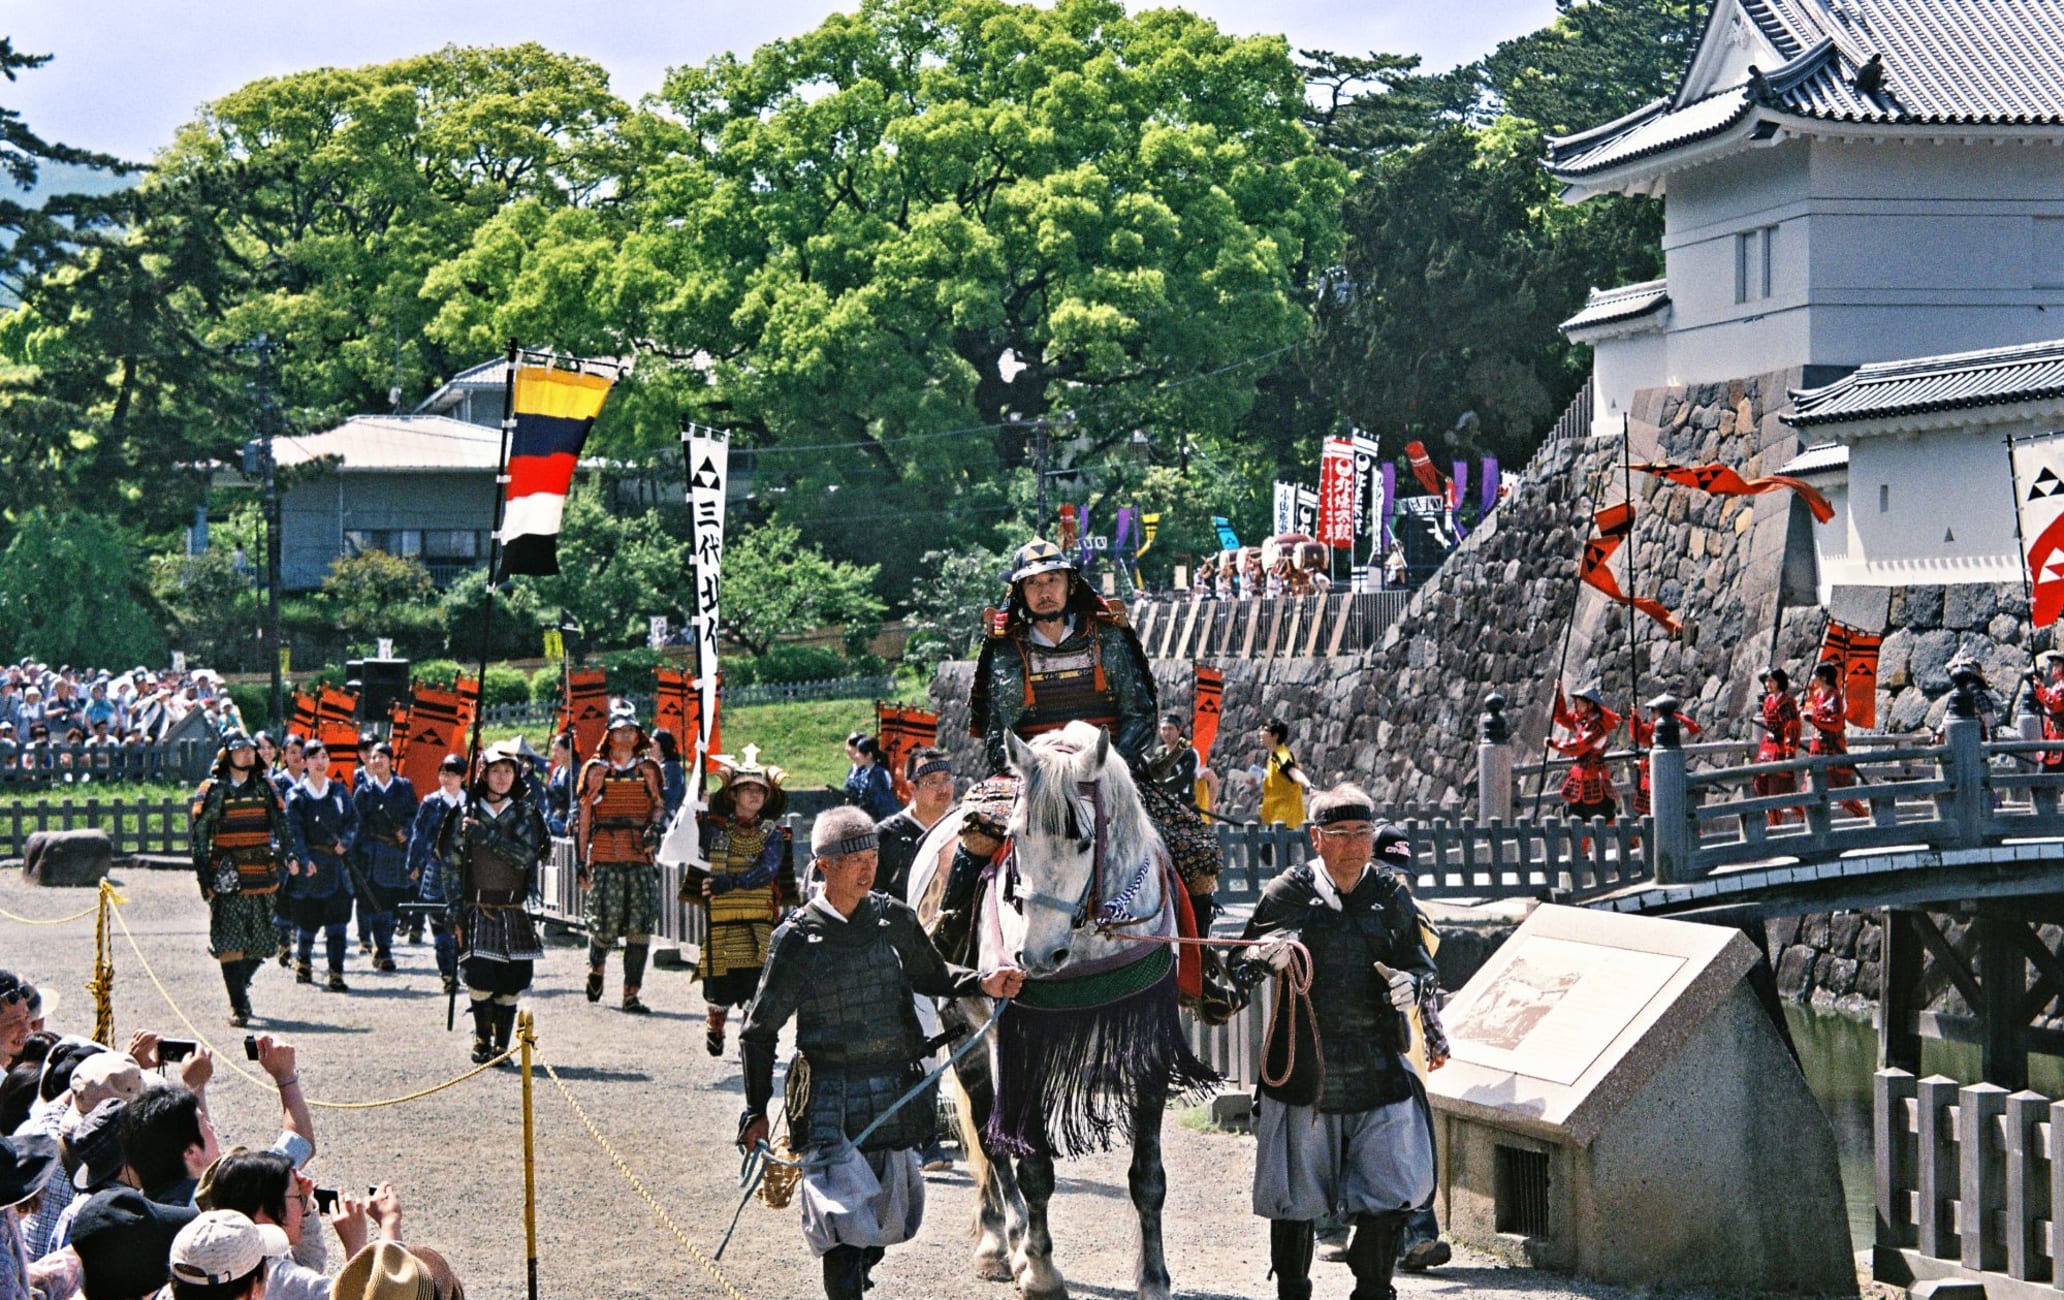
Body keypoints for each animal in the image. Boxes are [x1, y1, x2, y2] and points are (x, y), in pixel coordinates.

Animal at [904, 722, 1205, 1300]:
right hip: (964, 1031)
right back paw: (1002, 1245)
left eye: (1084, 840)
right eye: (1015, 838)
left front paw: (1154, 1278)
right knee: (992, 1141)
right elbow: (1033, 1168)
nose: (1037, 956)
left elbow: (1148, 1176)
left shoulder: (1148, 1044)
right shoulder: (1019, 1044)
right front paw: (1040, 1271)